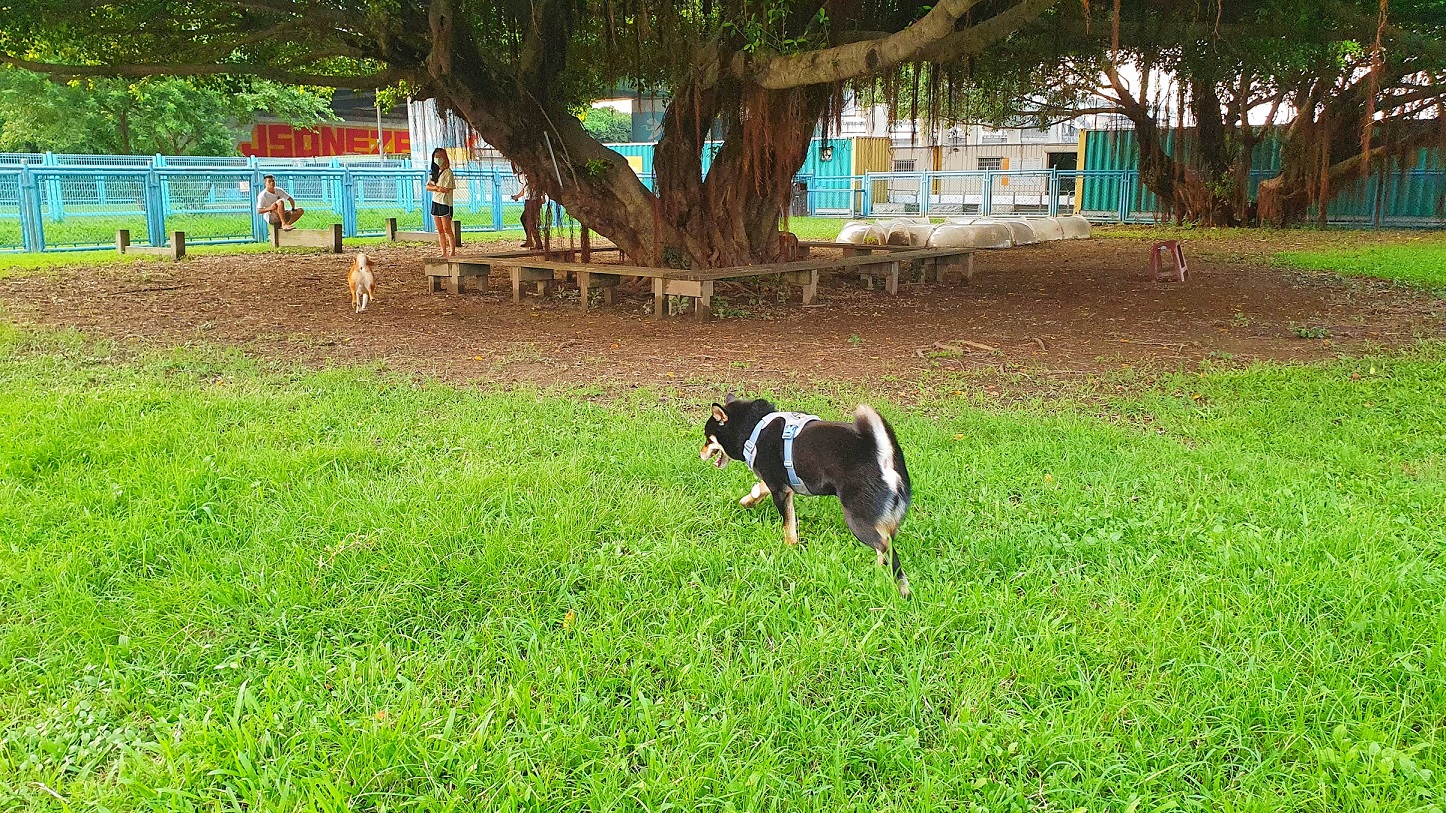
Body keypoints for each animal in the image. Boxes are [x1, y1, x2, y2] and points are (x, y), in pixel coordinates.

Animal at [702, 393, 913, 596]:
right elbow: (761, 488)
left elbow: (788, 525)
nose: (700, 453)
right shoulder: (780, 485)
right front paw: (748, 500)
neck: (754, 429)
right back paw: (878, 573)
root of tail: (883, 458)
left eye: (707, 438)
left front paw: (789, 546)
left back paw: (901, 588)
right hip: (883, 519)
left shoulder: (780, 490)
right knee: (885, 545)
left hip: (858, 519)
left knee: (886, 547)